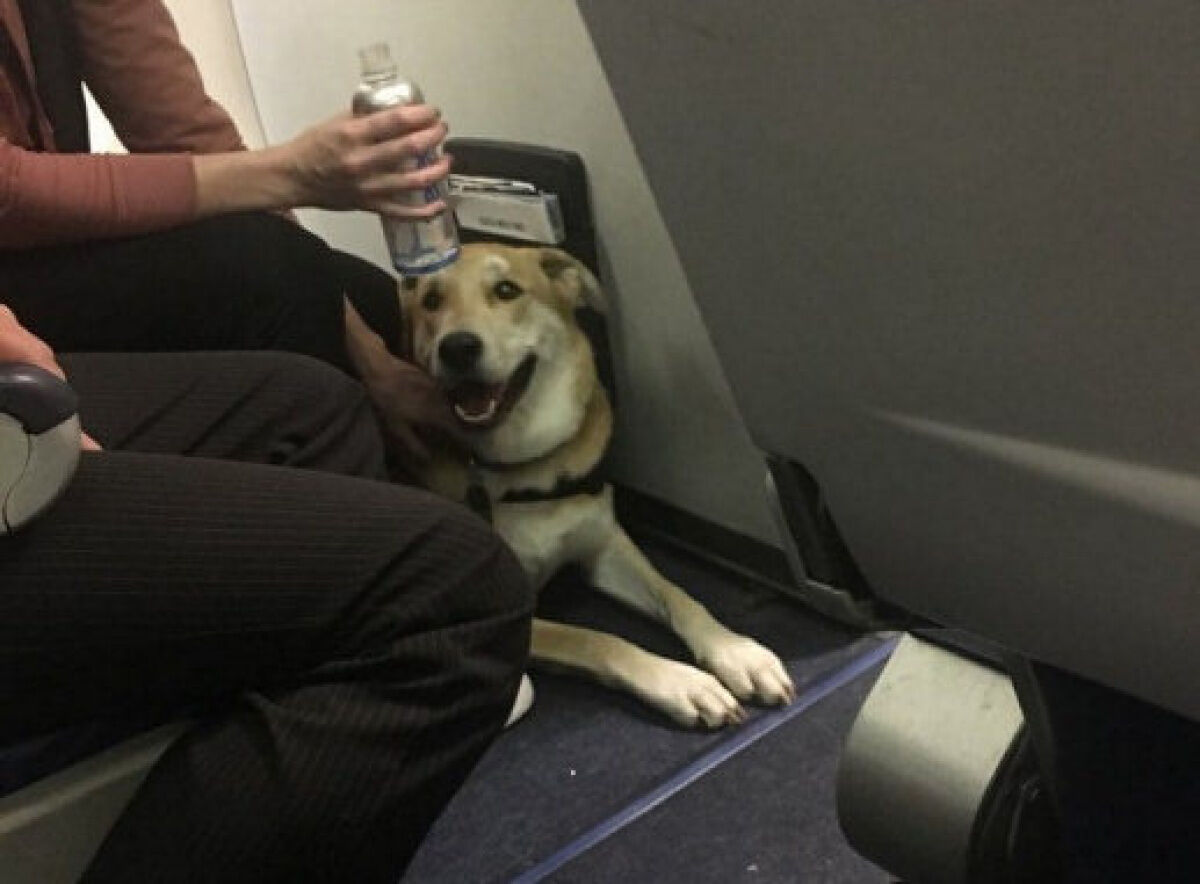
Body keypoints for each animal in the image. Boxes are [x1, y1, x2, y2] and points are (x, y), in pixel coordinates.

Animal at [393, 241, 792, 724]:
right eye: (432, 301)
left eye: (507, 290)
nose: (457, 347)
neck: (530, 464)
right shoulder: (508, 619)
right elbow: (595, 639)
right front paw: (682, 682)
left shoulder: (606, 548)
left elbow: (678, 594)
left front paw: (735, 651)